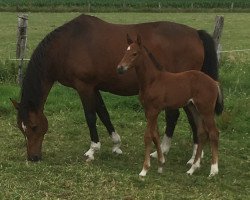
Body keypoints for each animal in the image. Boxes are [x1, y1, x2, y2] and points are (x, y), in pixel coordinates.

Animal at [11, 14, 219, 163]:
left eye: (34, 127)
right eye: (21, 129)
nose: (33, 157)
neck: (67, 45)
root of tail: (195, 33)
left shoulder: (84, 86)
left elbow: (90, 116)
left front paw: (93, 149)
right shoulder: (94, 87)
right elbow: (103, 113)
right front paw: (116, 144)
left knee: (190, 118)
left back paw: (191, 156)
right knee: (177, 116)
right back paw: (168, 151)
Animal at [116, 34, 223, 177]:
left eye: (135, 53)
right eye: (125, 52)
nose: (120, 68)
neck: (153, 80)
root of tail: (214, 83)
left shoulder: (153, 110)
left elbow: (148, 136)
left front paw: (144, 169)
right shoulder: (148, 111)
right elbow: (155, 135)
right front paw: (161, 164)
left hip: (206, 110)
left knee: (214, 133)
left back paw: (213, 170)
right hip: (194, 108)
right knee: (202, 133)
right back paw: (193, 168)